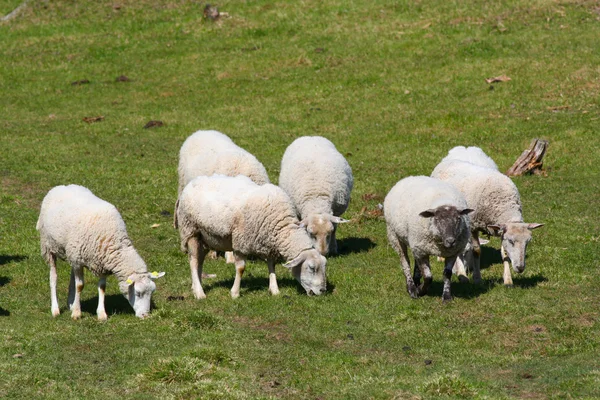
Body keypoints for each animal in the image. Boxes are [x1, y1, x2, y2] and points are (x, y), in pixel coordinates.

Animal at [37, 185, 164, 322]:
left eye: (152, 292)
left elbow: (102, 287)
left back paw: (71, 303)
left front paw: (101, 314)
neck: (114, 240)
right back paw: (55, 309)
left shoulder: (101, 262)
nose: (146, 316)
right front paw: (77, 313)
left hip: (72, 253)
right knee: (53, 276)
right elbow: (80, 286)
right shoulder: (82, 259)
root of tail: (61, 186)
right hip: (48, 246)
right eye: (138, 293)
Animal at [173, 173, 328, 298]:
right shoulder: (240, 242)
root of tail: (189, 185)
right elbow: (241, 268)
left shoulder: (268, 242)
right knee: (193, 262)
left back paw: (195, 286)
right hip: (191, 231)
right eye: (311, 268)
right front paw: (235, 293)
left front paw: (274, 289)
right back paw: (200, 293)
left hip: (205, 238)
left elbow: (271, 265)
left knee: (199, 260)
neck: (281, 226)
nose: (322, 291)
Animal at [432, 145, 544, 286]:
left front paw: (508, 280)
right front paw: (476, 278)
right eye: (511, 241)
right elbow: (476, 251)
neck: (503, 202)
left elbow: (504, 254)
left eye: (528, 242)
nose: (520, 268)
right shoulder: (473, 226)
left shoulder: (501, 229)